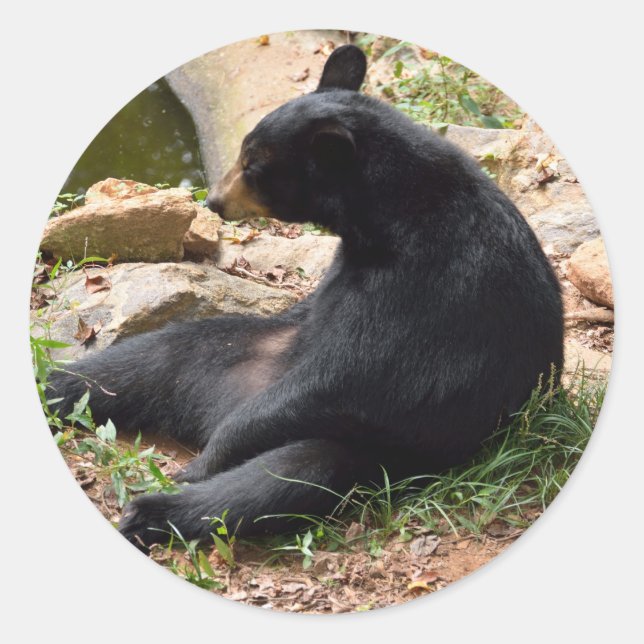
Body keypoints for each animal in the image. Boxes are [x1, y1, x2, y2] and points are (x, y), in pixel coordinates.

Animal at [48, 44, 563, 550]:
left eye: (253, 167)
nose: (213, 201)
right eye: (241, 156)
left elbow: (353, 374)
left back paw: (159, 505)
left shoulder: (431, 287)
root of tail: (205, 411)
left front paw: (206, 462)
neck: (384, 221)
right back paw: (58, 385)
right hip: (223, 354)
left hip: (378, 444)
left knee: (289, 473)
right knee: (147, 359)